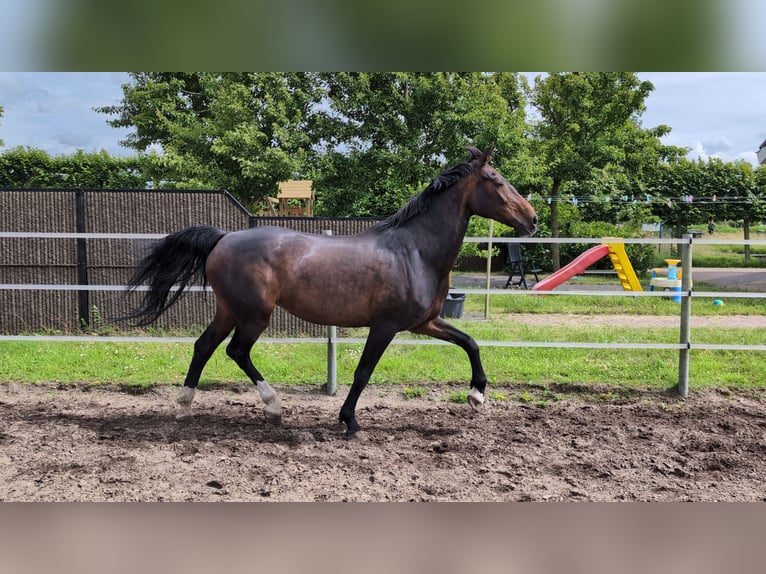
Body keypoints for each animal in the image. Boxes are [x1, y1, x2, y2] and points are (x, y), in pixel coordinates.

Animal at [125, 146, 537, 438]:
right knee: (235, 351)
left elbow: (470, 342)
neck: (415, 250)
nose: (532, 219)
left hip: (229, 310)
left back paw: (184, 406)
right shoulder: (385, 326)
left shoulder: (425, 322)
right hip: (254, 315)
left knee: (204, 347)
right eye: (496, 179)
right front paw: (349, 422)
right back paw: (273, 407)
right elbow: (364, 371)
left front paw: (477, 395)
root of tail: (224, 238)